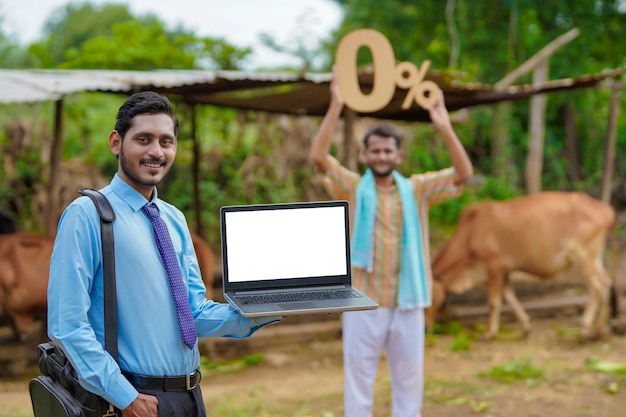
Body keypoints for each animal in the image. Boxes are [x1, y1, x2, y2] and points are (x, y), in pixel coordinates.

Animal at [428, 192, 616, 342]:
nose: (427, 328)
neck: (470, 232)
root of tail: (606, 210)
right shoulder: (504, 270)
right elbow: (509, 297)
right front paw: (525, 326)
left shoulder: (494, 266)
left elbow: (494, 301)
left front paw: (488, 333)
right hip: (594, 258)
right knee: (606, 283)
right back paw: (601, 331)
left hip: (582, 257)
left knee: (598, 286)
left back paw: (585, 329)